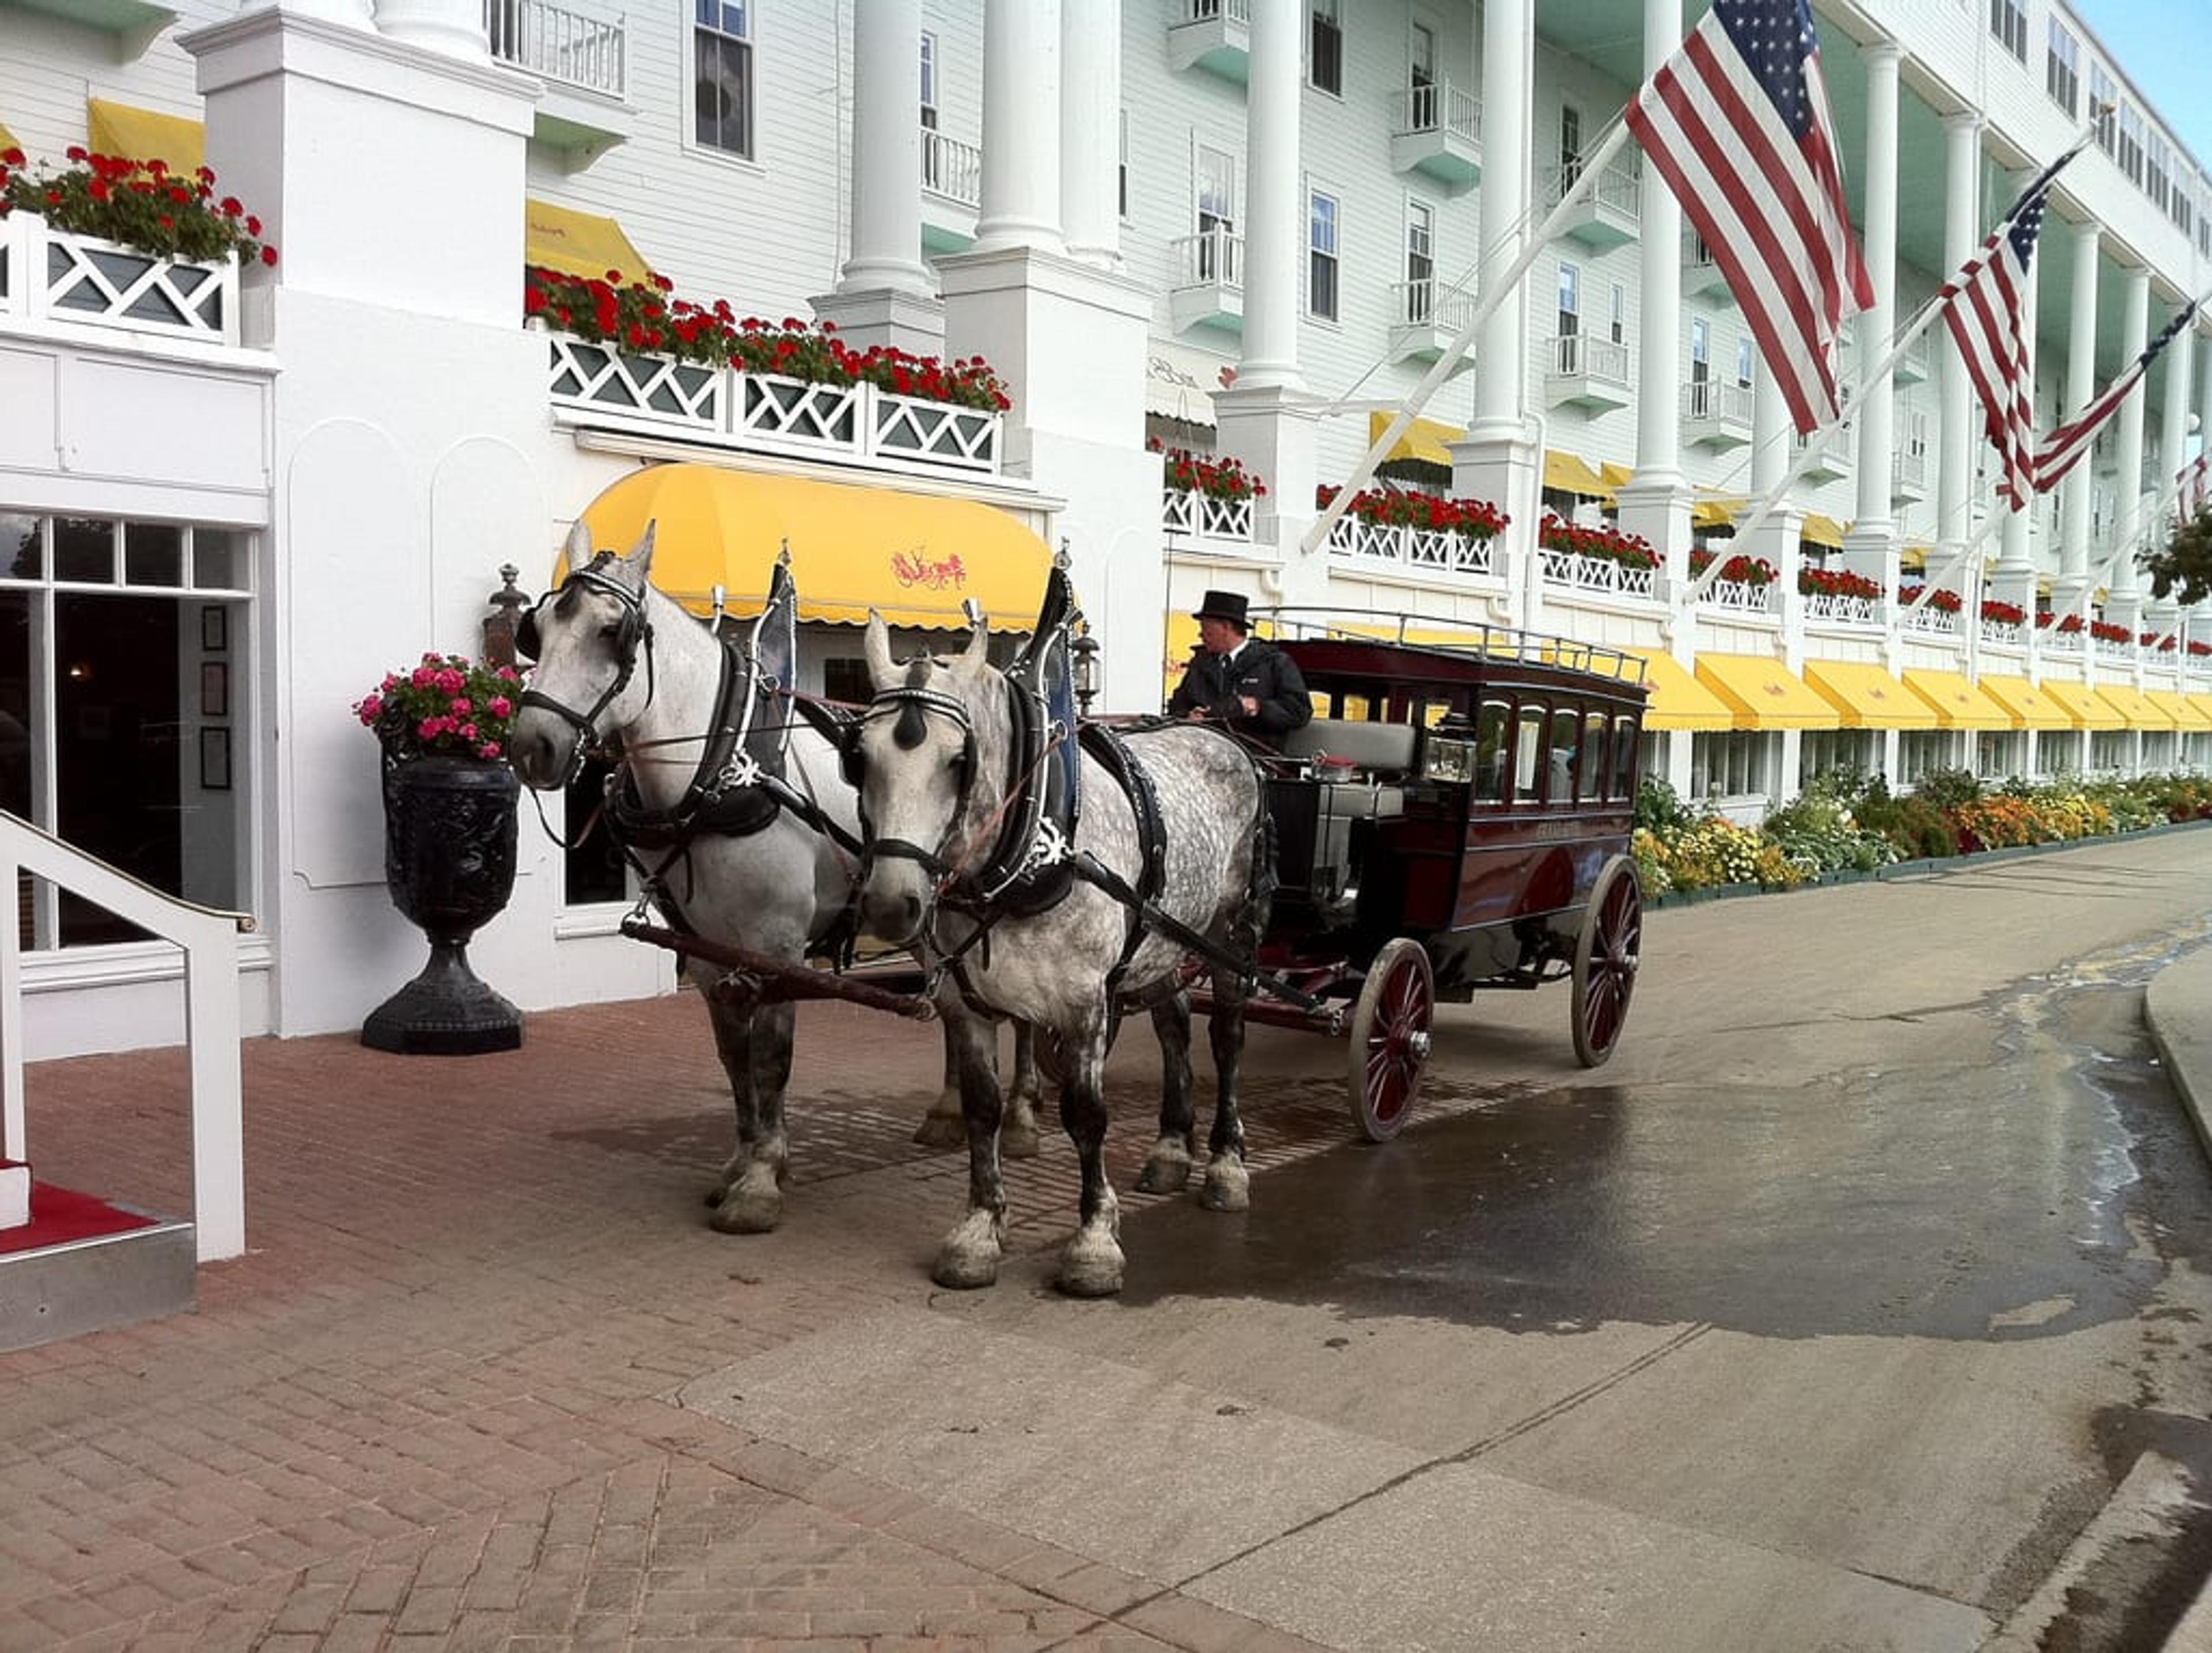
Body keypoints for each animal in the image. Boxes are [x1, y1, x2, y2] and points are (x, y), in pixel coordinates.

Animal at [506, 524, 1039, 1239]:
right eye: (535, 630)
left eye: (611, 631)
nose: (531, 745)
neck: (720, 772)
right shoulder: (707, 953)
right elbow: (735, 1060)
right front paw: (743, 1159)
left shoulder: (778, 944)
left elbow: (772, 1058)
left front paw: (761, 1179)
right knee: (956, 1010)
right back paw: (950, 1110)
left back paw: (1024, 1115)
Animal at [844, 615, 1274, 1301]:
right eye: (859, 758)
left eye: (959, 760)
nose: (890, 904)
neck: (1030, 846)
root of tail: (1229, 743)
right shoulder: (966, 1002)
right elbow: (982, 1109)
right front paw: (979, 1231)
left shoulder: (1084, 1003)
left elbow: (1086, 1115)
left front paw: (1094, 1241)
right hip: (1163, 937)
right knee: (1175, 1027)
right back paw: (1171, 1150)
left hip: (1233, 936)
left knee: (1227, 1038)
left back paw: (1225, 1165)